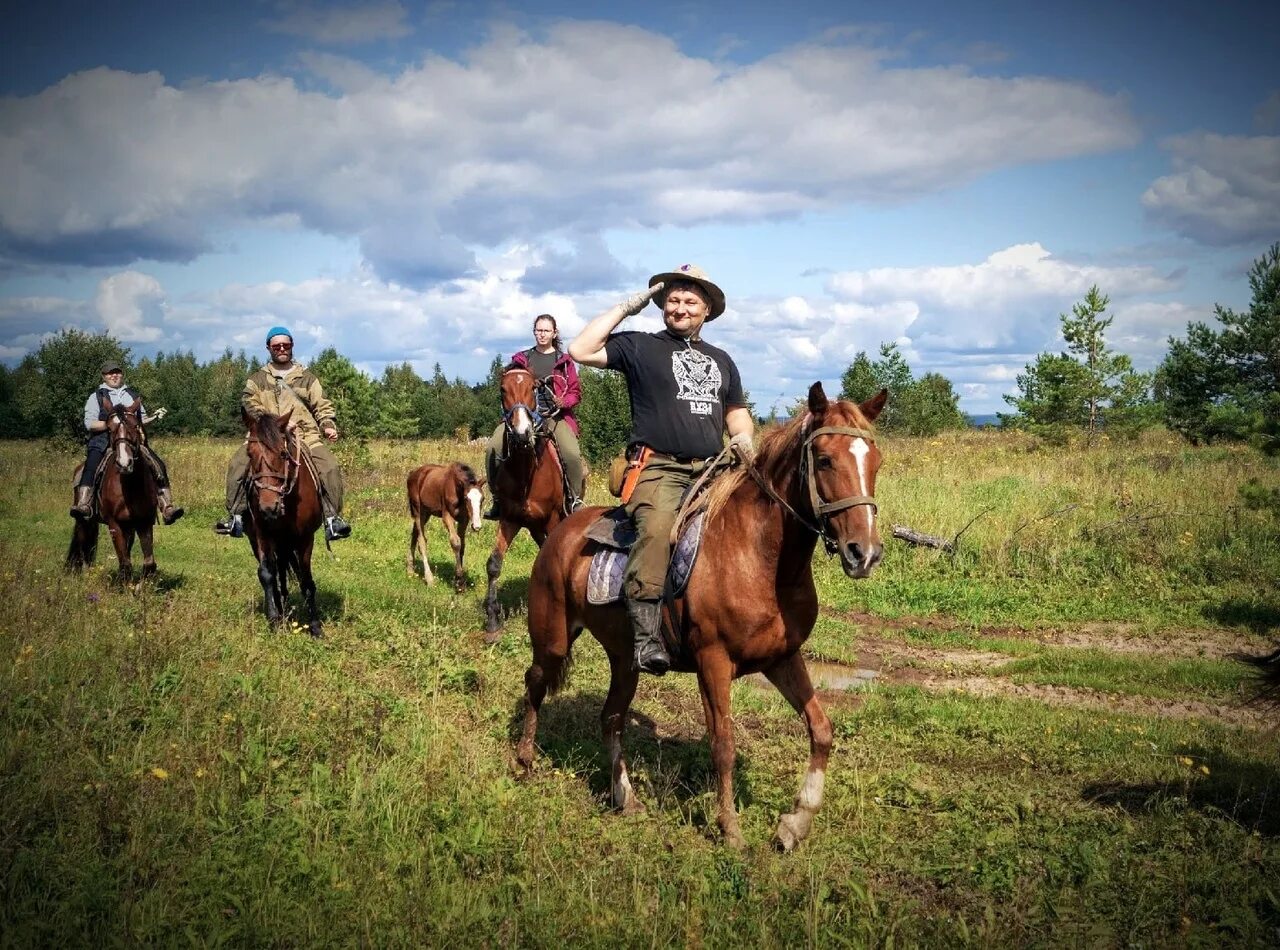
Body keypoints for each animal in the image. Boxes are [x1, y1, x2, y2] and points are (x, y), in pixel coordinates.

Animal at [66, 399, 161, 583]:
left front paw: (141, 587)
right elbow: (125, 564)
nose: (124, 463)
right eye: (109, 429)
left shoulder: (144, 522)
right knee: (82, 545)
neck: (130, 487)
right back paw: (85, 575)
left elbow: (149, 563)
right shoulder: (114, 524)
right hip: (84, 520)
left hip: (128, 526)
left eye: (135, 426)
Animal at [241, 404, 325, 635]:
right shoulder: (262, 535)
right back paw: (281, 607)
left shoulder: (305, 538)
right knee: (277, 572)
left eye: (283, 453)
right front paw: (274, 619)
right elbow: (266, 574)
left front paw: (315, 626)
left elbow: (305, 579)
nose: (268, 508)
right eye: (249, 453)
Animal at [407, 463, 486, 591]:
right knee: (422, 541)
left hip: (426, 512)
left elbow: (462, 546)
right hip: (418, 510)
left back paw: (410, 569)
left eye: (482, 499)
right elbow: (455, 542)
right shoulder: (447, 516)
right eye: (466, 498)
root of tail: (412, 474)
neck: (456, 490)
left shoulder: (464, 519)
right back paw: (429, 579)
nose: (477, 526)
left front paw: (460, 582)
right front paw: (459, 580)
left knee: (415, 534)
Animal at [483, 371, 570, 640]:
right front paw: (493, 619)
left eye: (534, 388)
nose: (522, 433)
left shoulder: (553, 519)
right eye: (502, 389)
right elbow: (494, 564)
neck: (526, 472)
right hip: (534, 527)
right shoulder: (510, 519)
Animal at [514, 384, 885, 850]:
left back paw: (624, 797)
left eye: (876, 461)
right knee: (535, 683)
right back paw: (524, 759)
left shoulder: (783, 659)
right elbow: (723, 743)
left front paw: (794, 823)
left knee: (611, 719)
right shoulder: (713, 662)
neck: (759, 557)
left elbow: (821, 730)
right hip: (552, 639)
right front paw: (730, 830)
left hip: (624, 660)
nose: (864, 553)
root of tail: (560, 531)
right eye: (824, 460)